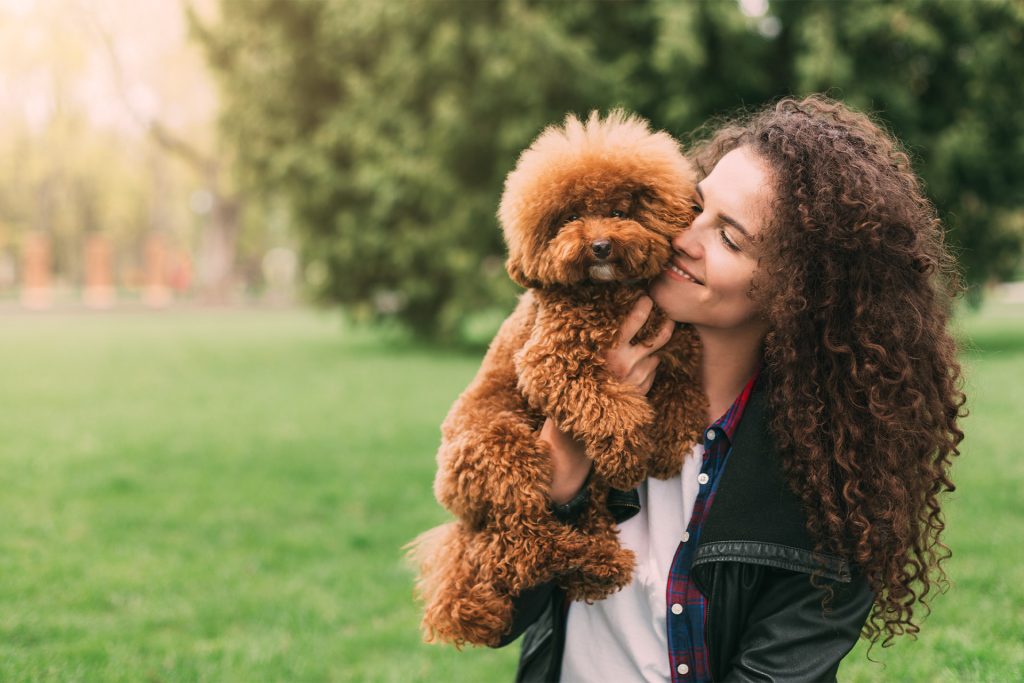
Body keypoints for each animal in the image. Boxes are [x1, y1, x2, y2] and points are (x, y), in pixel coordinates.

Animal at [407, 111, 704, 647]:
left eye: (621, 209)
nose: (600, 245)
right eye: (568, 218)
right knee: (518, 550)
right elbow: (605, 402)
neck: (609, 296)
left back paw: (595, 562)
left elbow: (683, 391)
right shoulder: (552, 361)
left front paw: (667, 445)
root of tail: (459, 512)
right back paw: (590, 561)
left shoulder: (675, 345)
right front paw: (630, 450)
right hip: (508, 455)